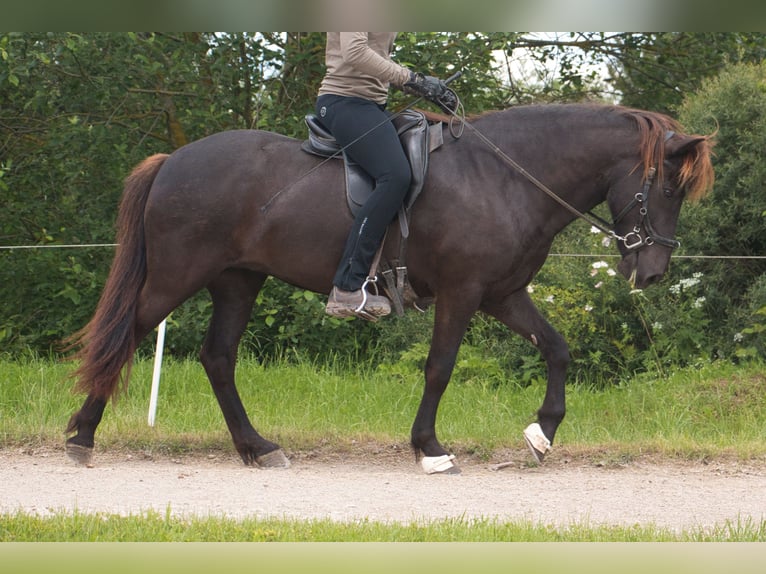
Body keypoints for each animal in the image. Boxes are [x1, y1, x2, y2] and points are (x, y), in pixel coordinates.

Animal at [65, 102, 714, 474]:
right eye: (668, 187)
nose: (652, 272)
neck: (503, 175)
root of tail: (173, 160)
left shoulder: (502, 294)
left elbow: (557, 349)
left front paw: (541, 435)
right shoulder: (462, 292)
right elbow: (440, 367)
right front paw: (430, 447)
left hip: (237, 281)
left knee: (218, 357)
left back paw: (257, 448)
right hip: (178, 275)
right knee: (125, 337)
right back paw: (82, 436)